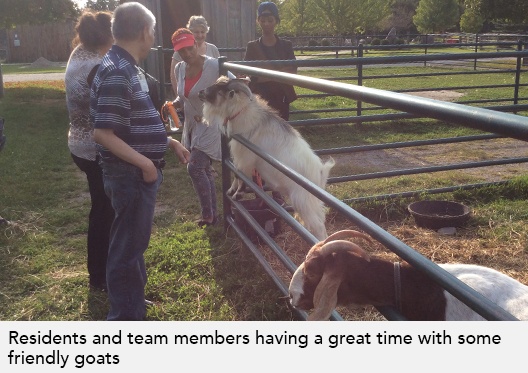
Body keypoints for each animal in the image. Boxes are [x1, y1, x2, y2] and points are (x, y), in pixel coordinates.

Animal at [198, 76, 334, 240]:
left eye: (220, 89)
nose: (200, 92)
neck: (245, 113)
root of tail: (320, 173)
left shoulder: (246, 157)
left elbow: (240, 175)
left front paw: (237, 195)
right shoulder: (240, 156)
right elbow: (237, 175)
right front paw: (231, 191)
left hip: (303, 200)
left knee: (319, 226)